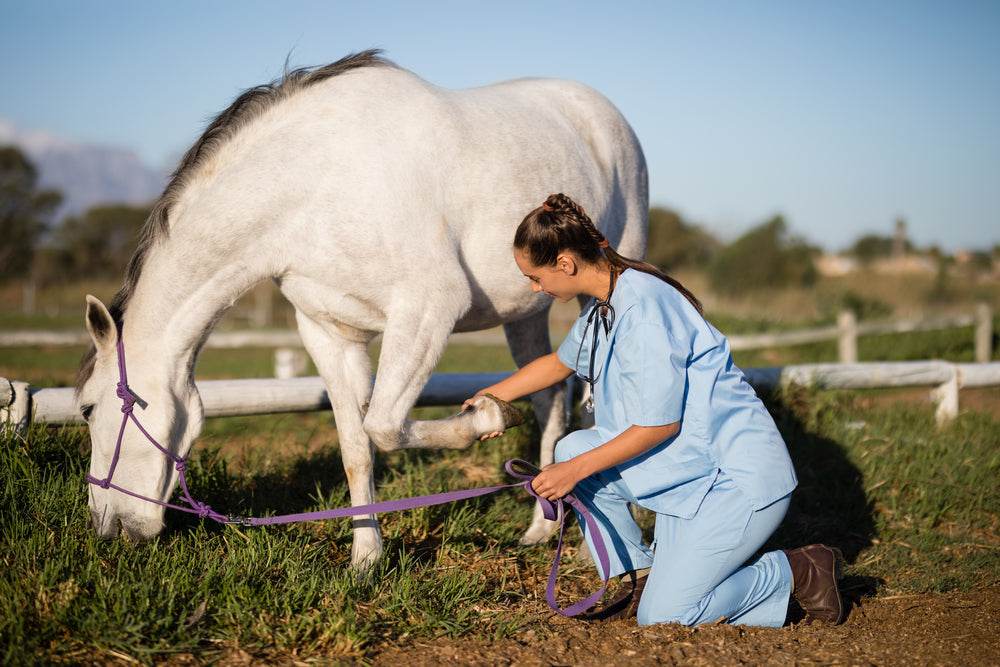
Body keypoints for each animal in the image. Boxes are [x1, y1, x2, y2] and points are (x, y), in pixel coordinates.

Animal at [75, 50, 648, 570]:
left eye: (86, 408)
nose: (106, 526)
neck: (313, 183)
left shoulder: (426, 310)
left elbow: (386, 427)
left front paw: (485, 415)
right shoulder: (329, 333)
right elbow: (356, 446)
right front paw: (366, 560)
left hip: (602, 285)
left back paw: (588, 545)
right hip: (525, 311)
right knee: (552, 399)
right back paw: (540, 527)